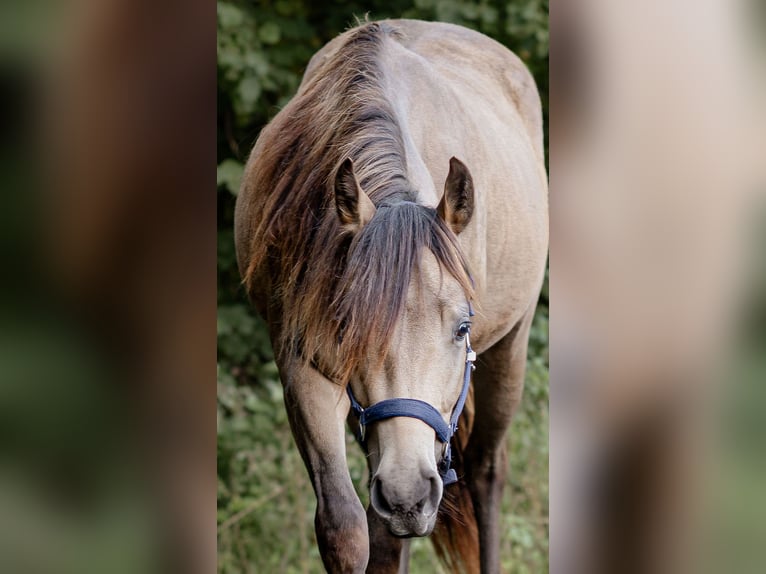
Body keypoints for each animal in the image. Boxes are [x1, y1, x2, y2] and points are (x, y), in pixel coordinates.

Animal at [237, 19, 548, 574]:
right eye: (347, 327)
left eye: (462, 328)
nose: (408, 493)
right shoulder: (302, 365)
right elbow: (345, 527)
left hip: (510, 348)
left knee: (487, 473)